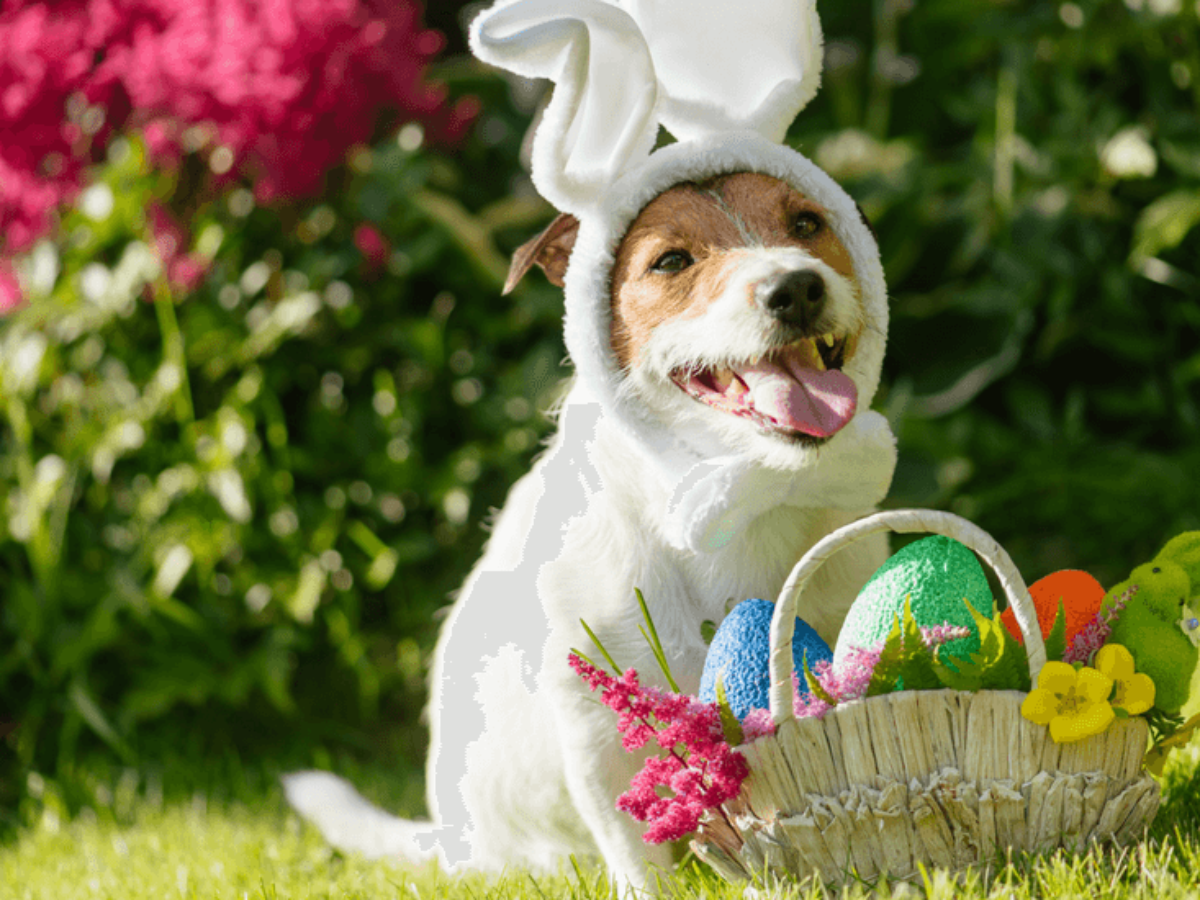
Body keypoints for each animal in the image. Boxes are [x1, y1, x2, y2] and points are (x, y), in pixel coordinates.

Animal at [285, 158, 897, 892]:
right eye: (671, 260)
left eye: (807, 223)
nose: (796, 288)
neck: (739, 497)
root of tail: (457, 844)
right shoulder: (596, 733)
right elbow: (636, 852)